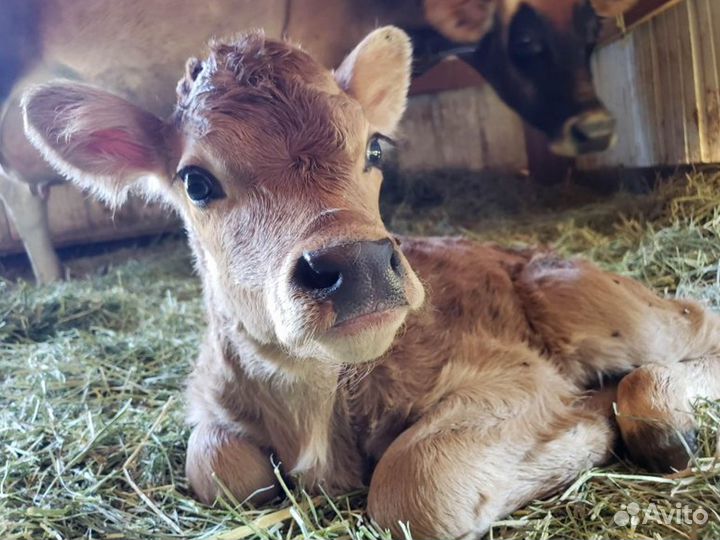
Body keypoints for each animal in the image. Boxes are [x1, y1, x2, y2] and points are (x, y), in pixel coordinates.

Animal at [22, 28, 720, 540]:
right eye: (196, 181)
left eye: (375, 149)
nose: (355, 264)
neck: (316, 406)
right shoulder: (211, 403)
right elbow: (219, 468)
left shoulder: (516, 374)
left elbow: (416, 487)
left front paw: (589, 427)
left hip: (585, 302)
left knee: (695, 324)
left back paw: (656, 414)